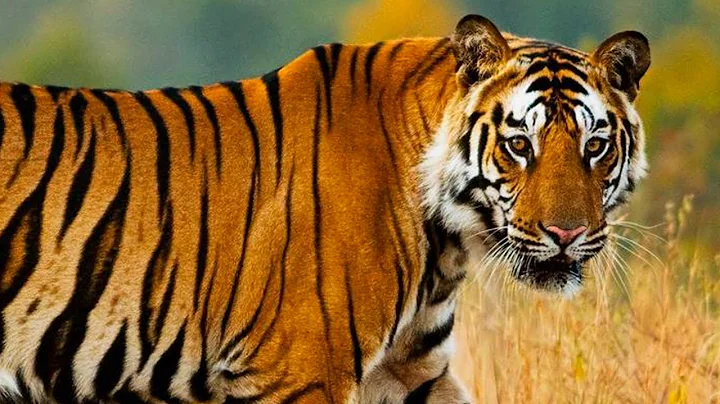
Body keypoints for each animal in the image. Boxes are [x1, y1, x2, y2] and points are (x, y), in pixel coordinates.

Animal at [0, 13, 649, 404]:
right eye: (520, 145)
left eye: (595, 146)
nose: (566, 233)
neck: (447, 244)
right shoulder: (299, 370)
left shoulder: (413, 370)